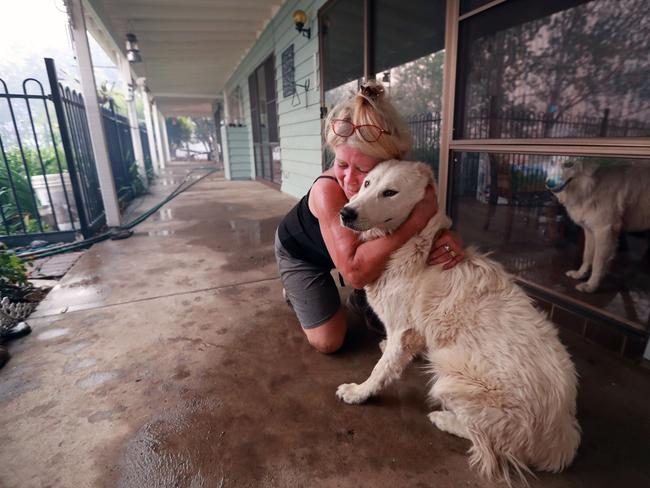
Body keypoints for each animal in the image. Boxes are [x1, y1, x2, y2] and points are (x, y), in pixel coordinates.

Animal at [336, 159, 580, 484]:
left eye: (390, 192)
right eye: (367, 184)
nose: (346, 212)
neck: (413, 244)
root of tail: (562, 436)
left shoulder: (403, 328)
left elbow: (381, 370)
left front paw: (358, 393)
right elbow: (395, 356)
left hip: (450, 378)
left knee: (488, 442)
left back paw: (443, 419)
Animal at [544, 158, 648, 292]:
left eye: (568, 164)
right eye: (552, 162)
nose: (549, 183)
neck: (592, 186)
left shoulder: (604, 231)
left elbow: (598, 262)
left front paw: (591, 286)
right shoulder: (589, 230)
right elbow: (587, 255)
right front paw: (580, 274)